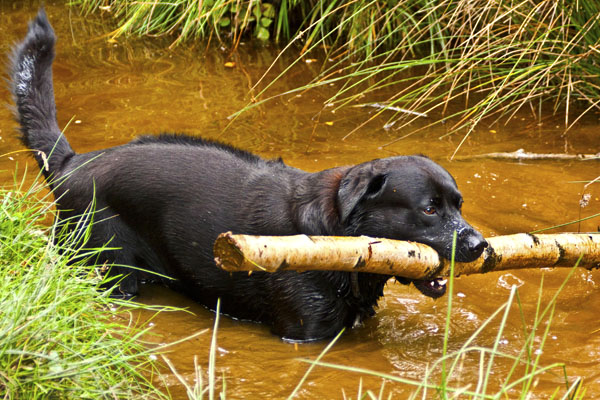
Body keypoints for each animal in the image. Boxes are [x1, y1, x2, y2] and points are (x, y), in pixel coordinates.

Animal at [10, 10, 488, 340]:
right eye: (429, 209)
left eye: (459, 204)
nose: (480, 245)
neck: (335, 233)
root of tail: (71, 164)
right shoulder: (304, 332)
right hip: (106, 268)